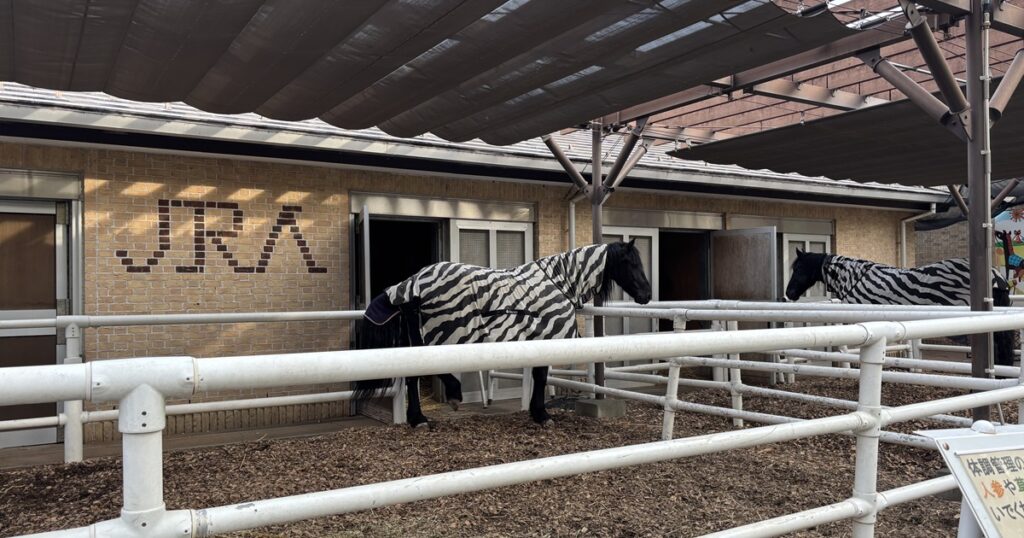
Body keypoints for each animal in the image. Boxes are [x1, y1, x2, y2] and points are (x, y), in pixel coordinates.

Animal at [352, 240, 652, 427]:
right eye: (631, 263)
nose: (647, 295)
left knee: (414, 375)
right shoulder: (547, 338)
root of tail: (413, 281)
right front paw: (542, 414)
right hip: (440, 332)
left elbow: (538, 377)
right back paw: (450, 397)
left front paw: (537, 412)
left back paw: (419, 418)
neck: (559, 283)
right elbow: (541, 378)